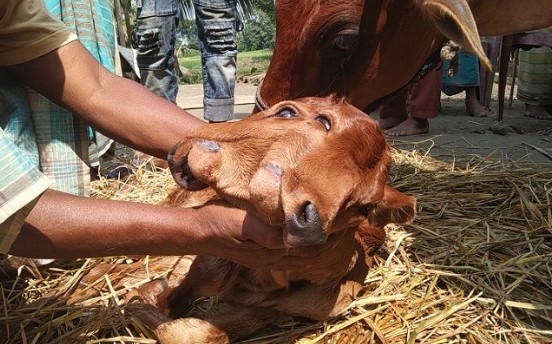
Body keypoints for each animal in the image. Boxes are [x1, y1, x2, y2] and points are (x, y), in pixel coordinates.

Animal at [128, 96, 414, 344]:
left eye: (365, 206)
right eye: (286, 112)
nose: (308, 220)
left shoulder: (293, 307)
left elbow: (196, 333)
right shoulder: (207, 260)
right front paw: (144, 300)